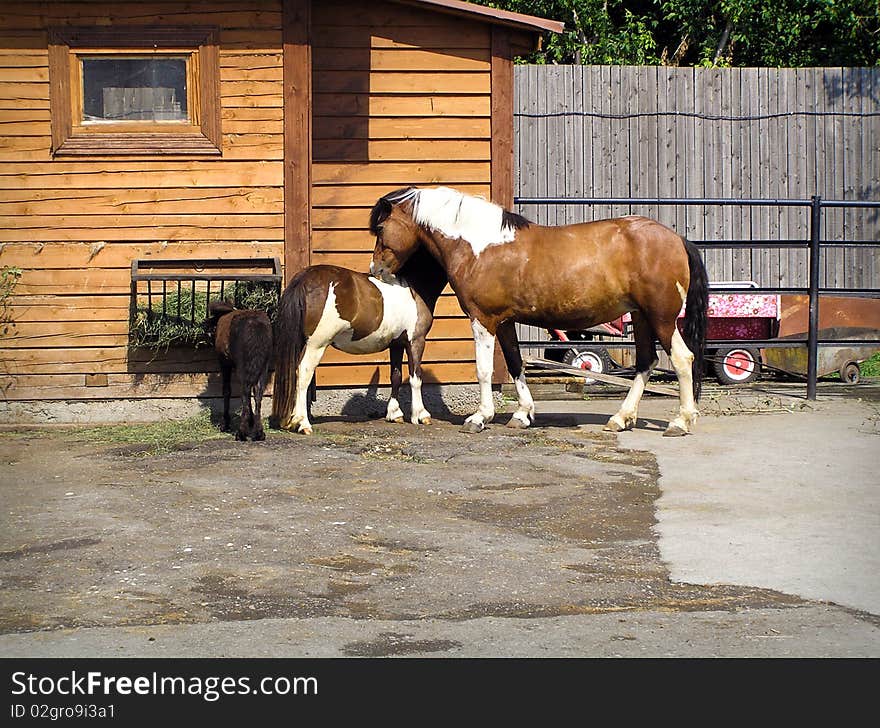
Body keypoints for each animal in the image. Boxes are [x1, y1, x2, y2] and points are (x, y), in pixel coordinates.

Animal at [272, 247, 446, 436]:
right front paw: (421, 415)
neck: (413, 288)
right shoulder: (415, 341)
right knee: (303, 373)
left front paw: (395, 414)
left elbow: (396, 376)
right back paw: (303, 423)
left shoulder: (397, 344)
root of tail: (304, 278)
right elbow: (416, 377)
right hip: (315, 345)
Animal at [368, 188, 712, 438]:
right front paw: (522, 415)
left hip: (662, 317)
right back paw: (620, 418)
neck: (479, 245)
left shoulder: (483, 319)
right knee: (645, 362)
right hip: (641, 316)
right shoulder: (505, 321)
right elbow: (515, 363)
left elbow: (484, 370)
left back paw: (680, 422)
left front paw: (480, 417)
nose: (376, 270)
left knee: (682, 359)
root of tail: (677, 239)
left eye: (381, 228)